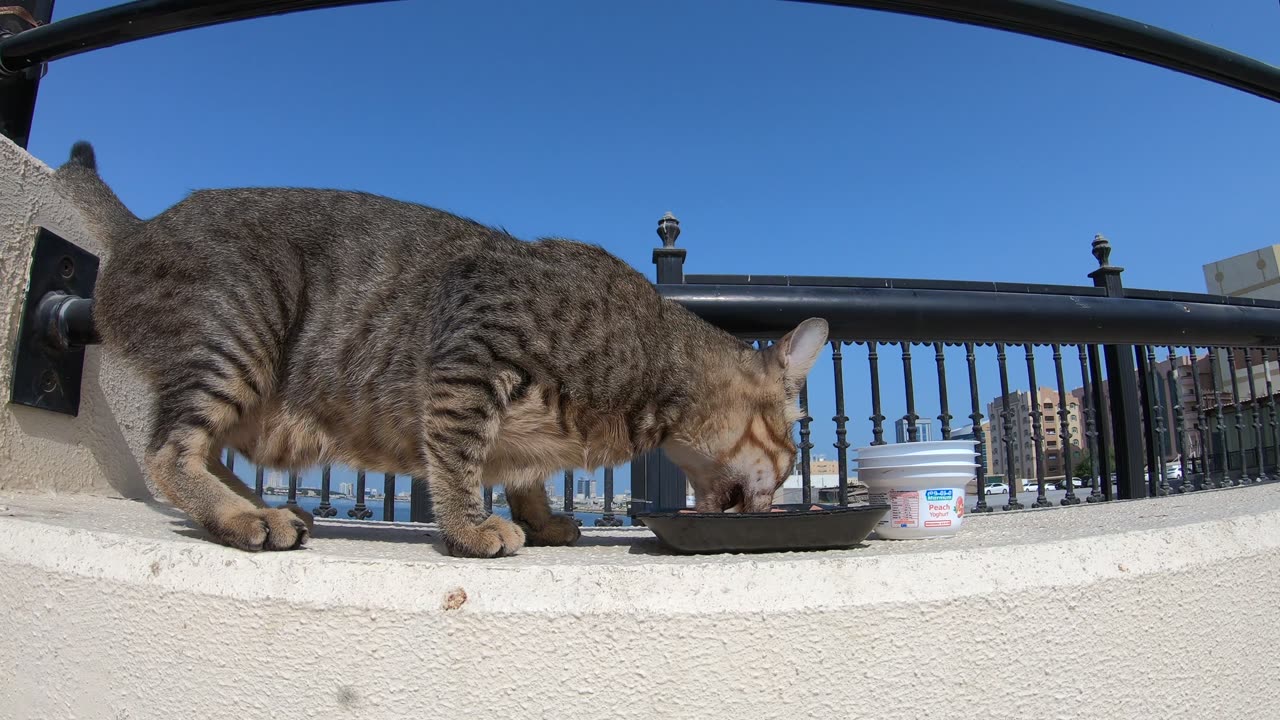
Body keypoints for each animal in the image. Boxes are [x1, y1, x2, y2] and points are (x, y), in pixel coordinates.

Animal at [49, 140, 829, 556]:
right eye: (794, 445)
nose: (787, 483)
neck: (652, 357)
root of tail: (141, 227)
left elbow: (526, 473)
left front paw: (540, 519)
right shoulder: (470, 359)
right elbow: (457, 457)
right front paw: (470, 528)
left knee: (203, 450)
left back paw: (269, 507)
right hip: (240, 327)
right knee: (170, 454)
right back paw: (249, 516)